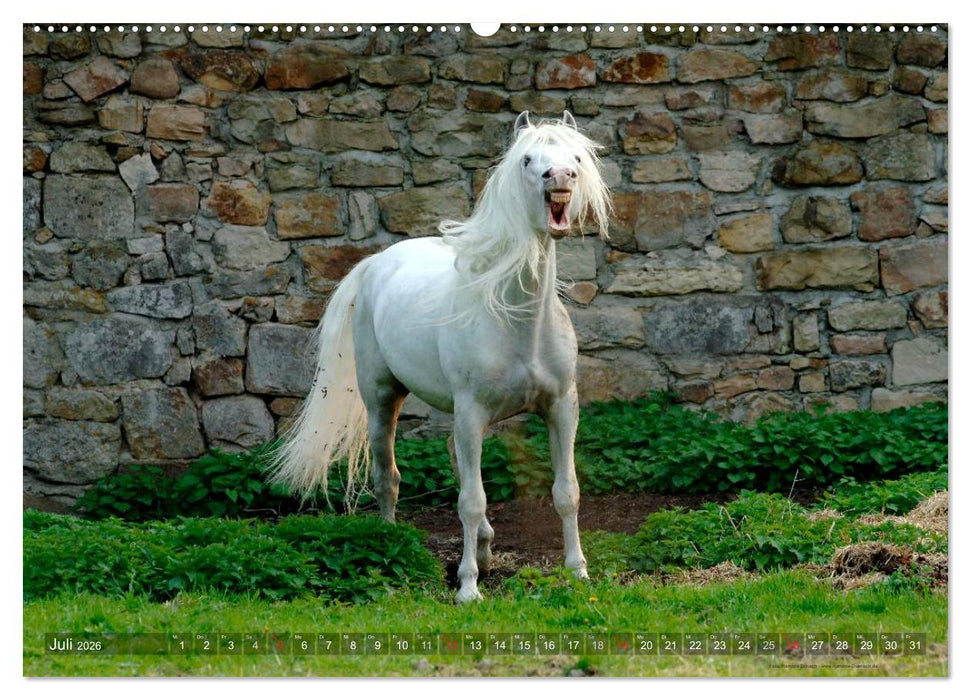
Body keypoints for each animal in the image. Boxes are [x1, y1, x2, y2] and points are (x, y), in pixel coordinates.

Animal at [270, 111, 613, 602]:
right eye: (528, 159)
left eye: (577, 158)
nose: (560, 177)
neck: (518, 322)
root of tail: (375, 263)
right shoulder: (470, 412)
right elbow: (470, 500)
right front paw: (468, 588)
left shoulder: (562, 407)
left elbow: (566, 491)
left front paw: (577, 573)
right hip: (383, 400)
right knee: (388, 477)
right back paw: (393, 544)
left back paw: (485, 549)